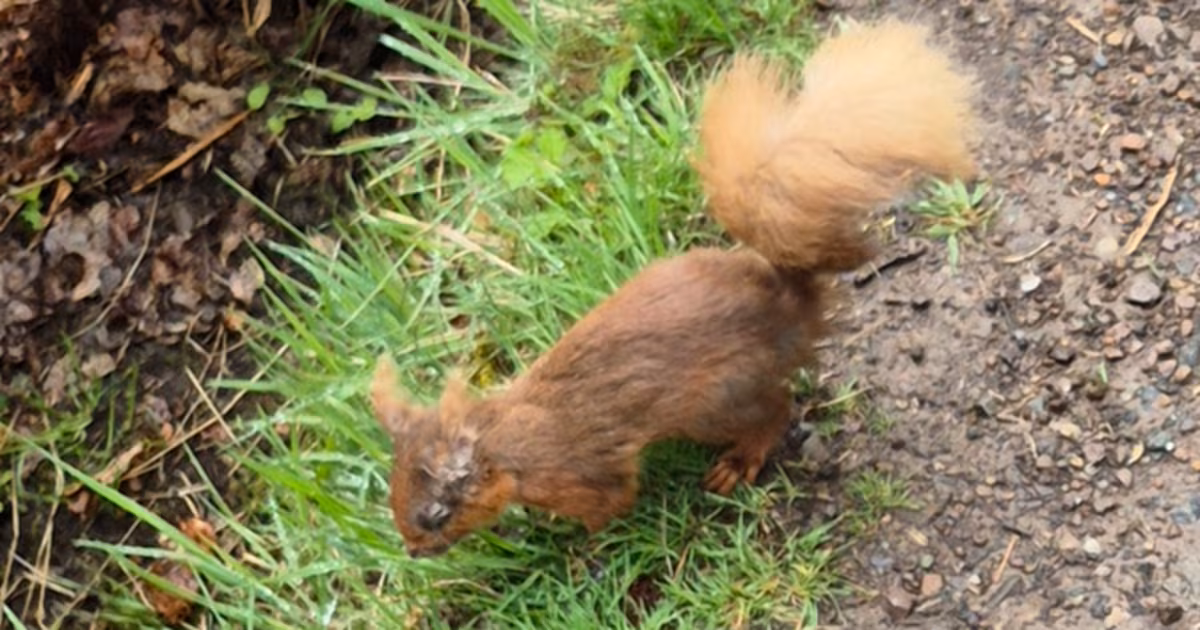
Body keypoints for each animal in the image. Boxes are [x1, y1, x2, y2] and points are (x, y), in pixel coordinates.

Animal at [370, 19, 978, 557]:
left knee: (776, 410)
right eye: (392, 494)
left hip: (720, 400)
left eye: (436, 513)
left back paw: (738, 462)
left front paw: (579, 549)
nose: (413, 552)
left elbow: (610, 504)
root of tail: (789, 301)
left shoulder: (582, 474)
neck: (506, 439)